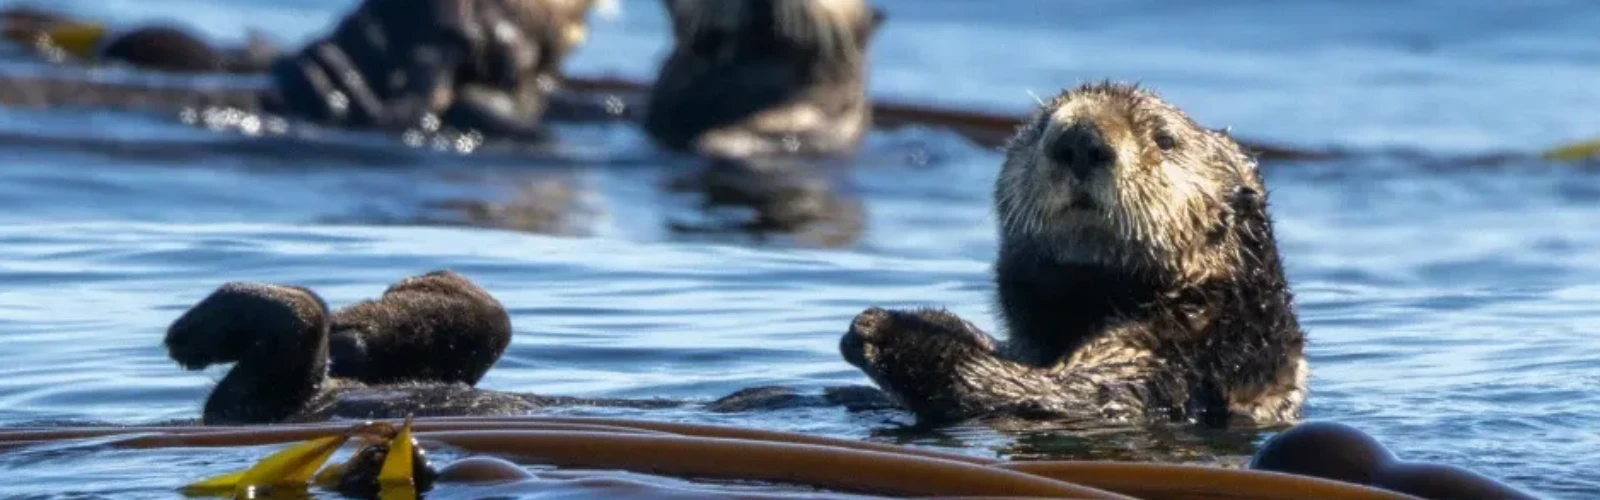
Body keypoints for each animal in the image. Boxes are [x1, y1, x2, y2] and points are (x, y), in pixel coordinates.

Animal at [839, 82, 1307, 427]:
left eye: (1165, 139)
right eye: (1040, 126)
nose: (1080, 139)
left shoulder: (1176, 364)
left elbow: (1055, 395)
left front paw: (881, 328)